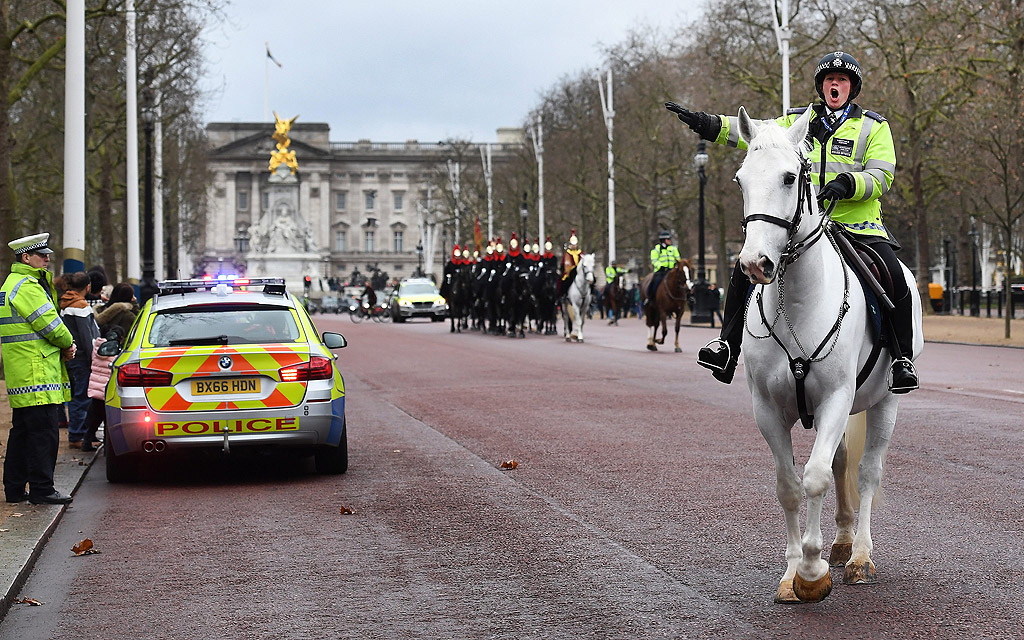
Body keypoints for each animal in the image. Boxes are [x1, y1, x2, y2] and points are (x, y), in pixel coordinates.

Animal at [733, 105, 925, 602]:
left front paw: (812, 571)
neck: (798, 303)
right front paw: (792, 572)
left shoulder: (837, 398)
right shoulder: (767, 408)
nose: (755, 264)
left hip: (886, 401)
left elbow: (816, 476)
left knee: (868, 472)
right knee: (841, 465)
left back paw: (858, 556)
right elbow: (789, 485)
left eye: (788, 177)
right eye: (741, 179)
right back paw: (840, 543)